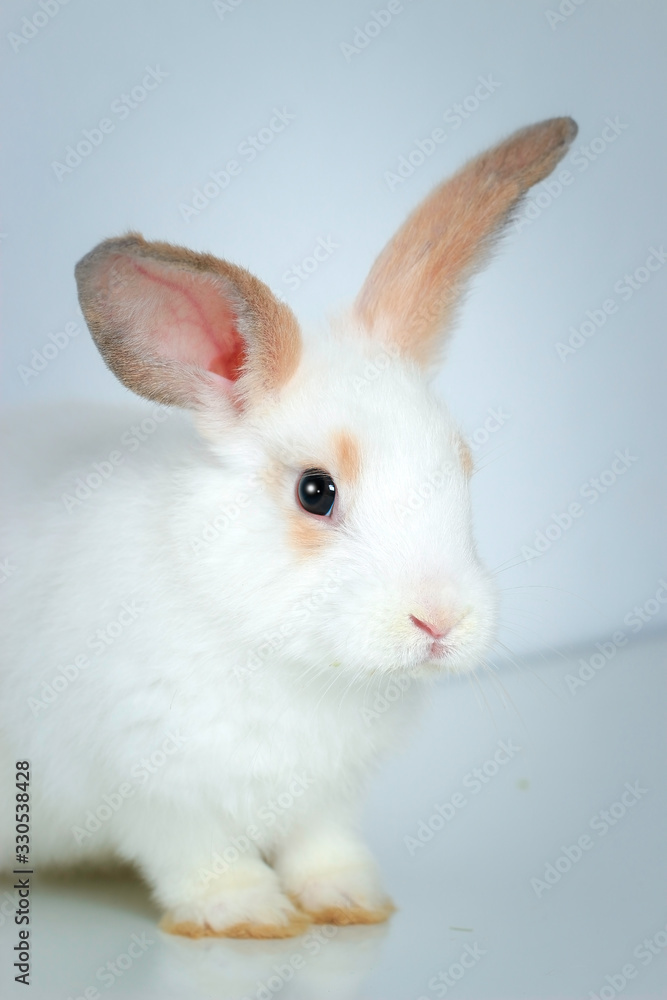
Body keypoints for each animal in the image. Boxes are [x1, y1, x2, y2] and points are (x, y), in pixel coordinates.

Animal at [0, 115, 576, 936]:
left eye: (462, 464)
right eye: (315, 491)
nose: (440, 621)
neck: (291, 658)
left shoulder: (326, 795)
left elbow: (321, 843)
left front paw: (350, 901)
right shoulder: (155, 788)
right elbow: (199, 855)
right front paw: (247, 916)